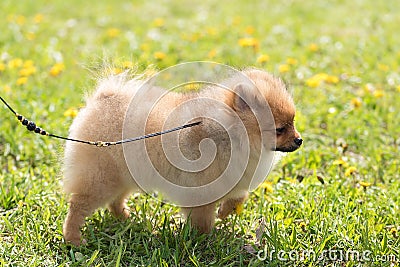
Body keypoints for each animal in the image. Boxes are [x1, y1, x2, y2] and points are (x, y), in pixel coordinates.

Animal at [62, 67, 302, 247]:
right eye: (280, 129)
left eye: (293, 122)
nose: (299, 140)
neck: (230, 133)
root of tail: (103, 98)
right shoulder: (200, 191)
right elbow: (203, 219)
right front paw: (205, 238)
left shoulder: (234, 179)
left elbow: (238, 197)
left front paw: (224, 212)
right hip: (101, 178)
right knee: (78, 206)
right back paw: (73, 238)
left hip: (125, 174)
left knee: (115, 200)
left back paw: (126, 218)